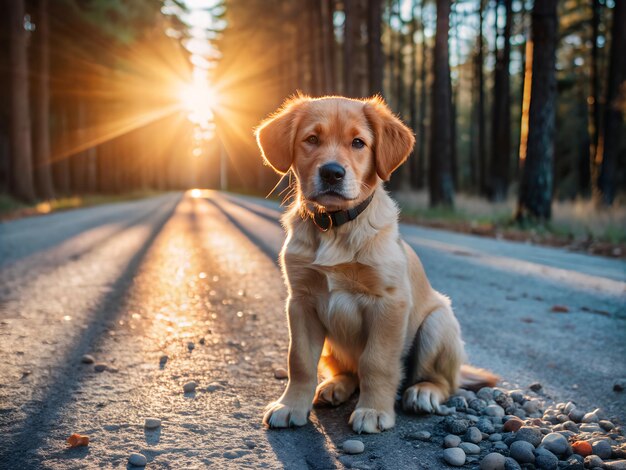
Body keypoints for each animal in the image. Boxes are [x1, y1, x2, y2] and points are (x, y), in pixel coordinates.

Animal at [252, 94, 492, 434]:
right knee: (347, 370)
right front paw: (291, 405)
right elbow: (299, 359)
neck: (335, 225)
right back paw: (335, 386)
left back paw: (423, 391)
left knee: (444, 382)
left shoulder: (389, 302)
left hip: (438, 322)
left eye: (358, 143)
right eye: (311, 139)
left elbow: (376, 362)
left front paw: (374, 411)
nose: (332, 173)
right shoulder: (300, 302)